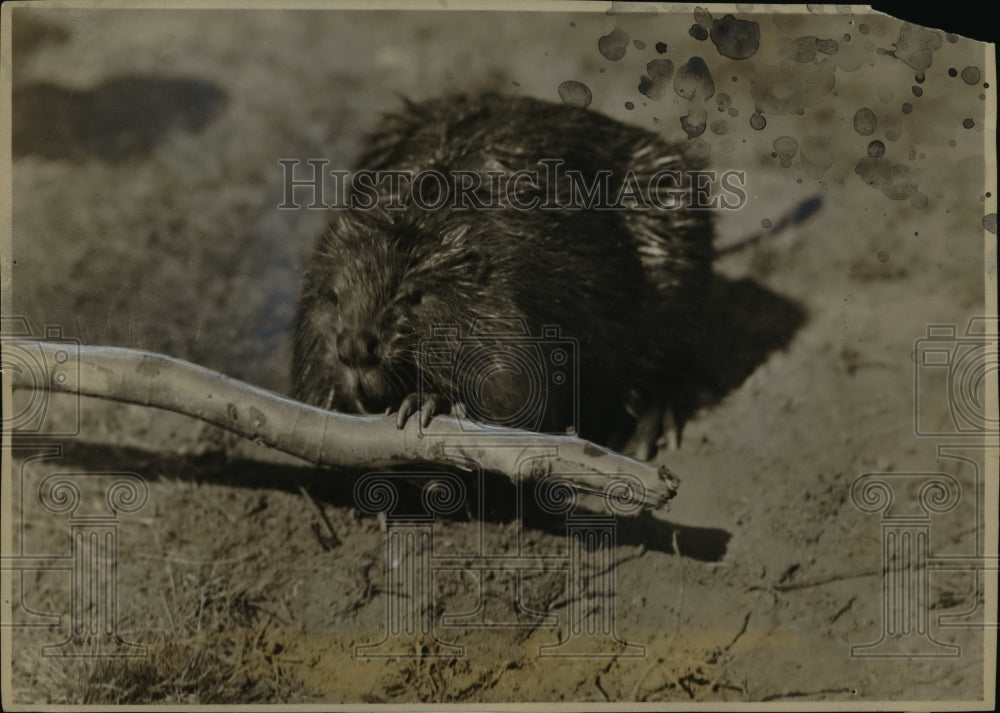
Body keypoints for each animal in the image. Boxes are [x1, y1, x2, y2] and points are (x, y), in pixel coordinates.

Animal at [292, 92, 716, 458]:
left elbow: (518, 391)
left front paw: (426, 401)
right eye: (334, 296)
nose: (355, 348)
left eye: (414, 296)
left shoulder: (513, 304)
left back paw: (643, 437)